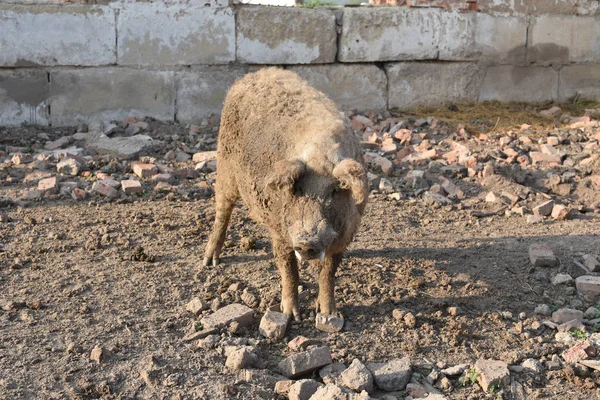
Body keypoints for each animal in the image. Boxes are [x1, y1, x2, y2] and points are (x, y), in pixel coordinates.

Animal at [204, 67, 368, 320]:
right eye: (297, 189)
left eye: (334, 191)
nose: (306, 241)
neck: (318, 154)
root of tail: (256, 74)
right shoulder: (279, 230)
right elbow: (289, 269)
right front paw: (292, 316)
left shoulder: (346, 233)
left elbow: (328, 273)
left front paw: (328, 315)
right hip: (225, 164)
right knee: (223, 210)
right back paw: (210, 262)